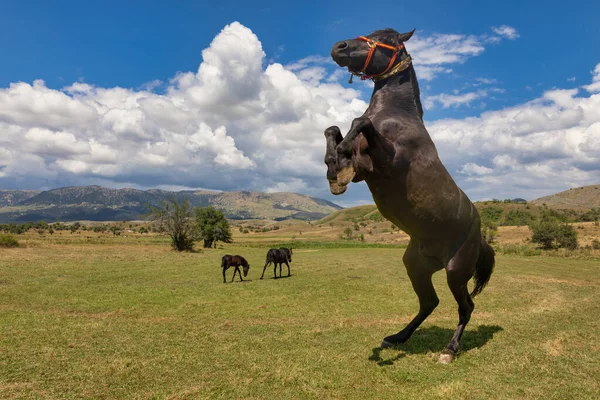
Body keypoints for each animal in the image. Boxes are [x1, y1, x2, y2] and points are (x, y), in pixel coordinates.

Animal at [326, 29, 494, 364]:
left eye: (386, 39)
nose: (339, 47)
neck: (396, 117)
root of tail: (479, 235)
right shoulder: (365, 170)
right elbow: (333, 129)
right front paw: (335, 172)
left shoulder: (384, 163)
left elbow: (358, 122)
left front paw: (341, 158)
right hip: (416, 267)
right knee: (429, 303)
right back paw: (396, 338)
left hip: (456, 272)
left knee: (466, 307)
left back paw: (449, 350)